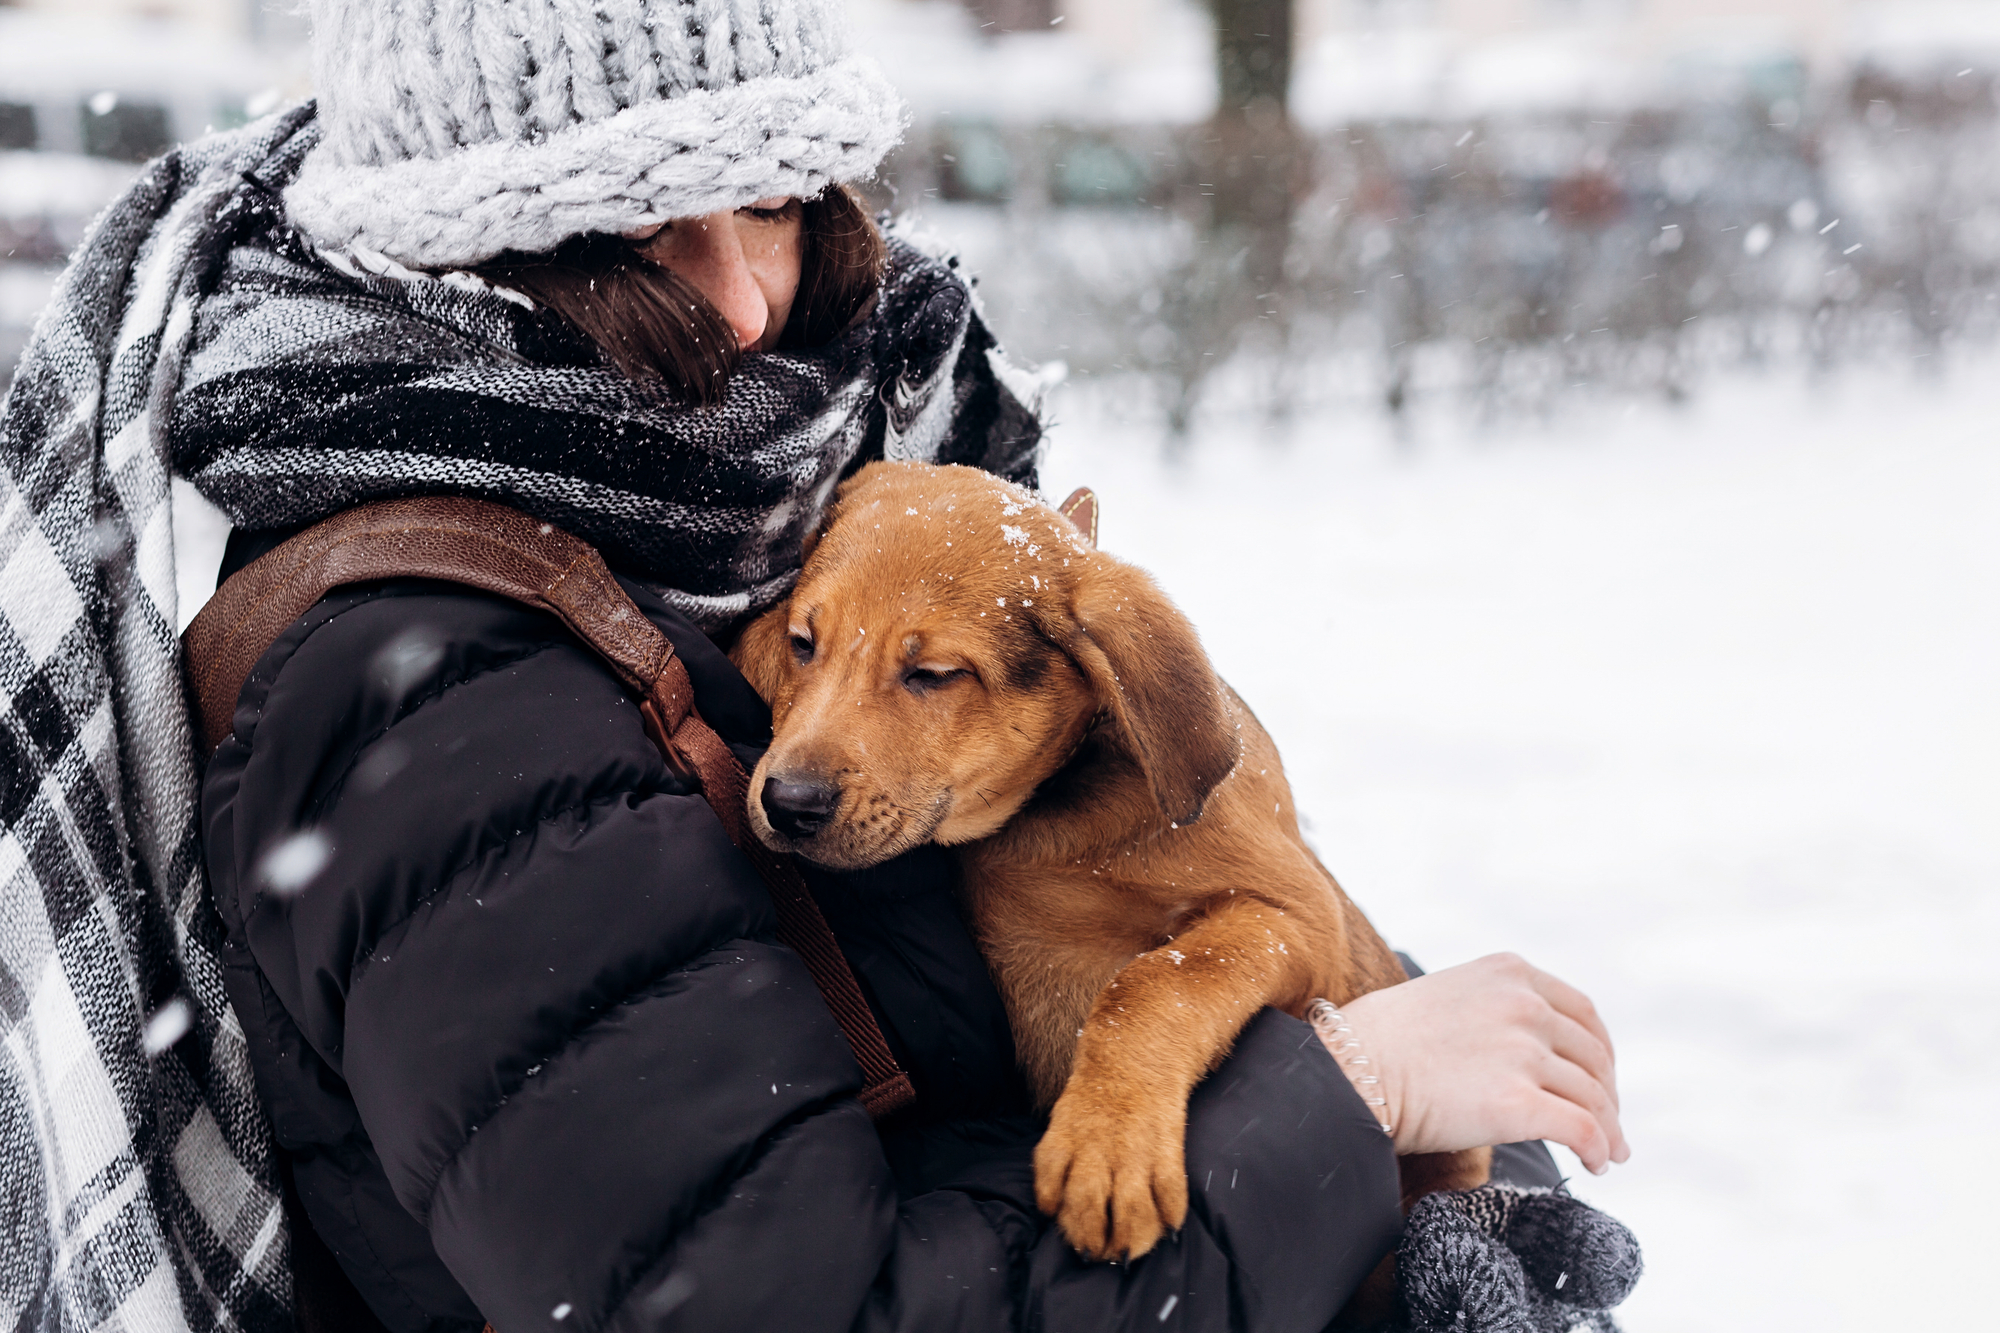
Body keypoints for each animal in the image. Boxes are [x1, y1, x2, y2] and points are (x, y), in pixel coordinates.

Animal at [736, 462, 1488, 1264]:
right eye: (804, 643)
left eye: (934, 673)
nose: (787, 802)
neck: (1053, 810)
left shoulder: (1300, 917)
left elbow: (1157, 980)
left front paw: (1109, 1145)